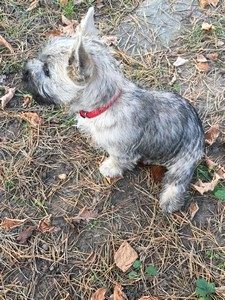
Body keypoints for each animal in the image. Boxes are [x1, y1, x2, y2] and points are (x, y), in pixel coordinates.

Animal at [23, 7, 205, 213]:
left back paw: (169, 201)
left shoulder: (122, 151)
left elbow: (117, 160)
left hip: (183, 164)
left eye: (47, 71)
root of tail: (199, 132)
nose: (24, 71)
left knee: (177, 182)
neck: (106, 105)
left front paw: (109, 168)